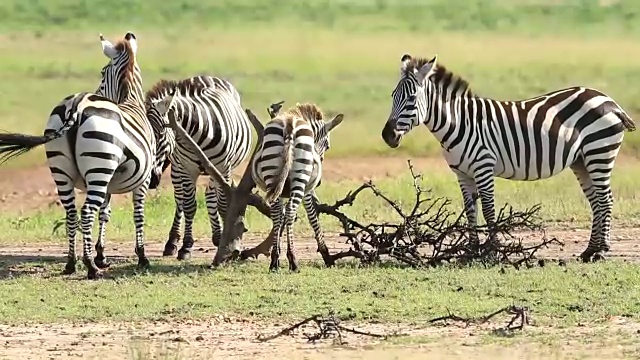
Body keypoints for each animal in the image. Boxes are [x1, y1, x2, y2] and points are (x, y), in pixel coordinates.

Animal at [0, 31, 176, 278]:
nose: (156, 181)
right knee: (85, 212)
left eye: (101, 74)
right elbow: (138, 215)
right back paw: (90, 266)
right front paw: (141, 257)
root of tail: (77, 104)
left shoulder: (109, 183)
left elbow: (105, 212)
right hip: (98, 168)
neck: (130, 101)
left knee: (71, 213)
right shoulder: (140, 181)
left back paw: (71, 263)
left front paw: (101, 254)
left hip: (64, 171)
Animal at [252, 102, 348, 272]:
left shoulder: (280, 190)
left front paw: (276, 253)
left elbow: (280, 218)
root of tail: (290, 122)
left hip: (272, 174)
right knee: (291, 211)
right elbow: (312, 217)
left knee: (277, 212)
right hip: (301, 177)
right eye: (328, 146)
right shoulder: (308, 191)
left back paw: (274, 262)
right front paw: (326, 255)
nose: (320, 182)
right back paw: (293, 261)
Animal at [380, 53, 636, 262]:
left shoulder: (483, 167)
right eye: (392, 96)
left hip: (599, 152)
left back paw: (601, 251)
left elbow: (489, 210)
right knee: (596, 201)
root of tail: (609, 100)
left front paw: (492, 250)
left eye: (411, 99)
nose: (387, 136)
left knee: (605, 199)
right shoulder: (463, 174)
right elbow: (471, 211)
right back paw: (590, 250)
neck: (458, 123)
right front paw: (471, 250)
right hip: (581, 160)